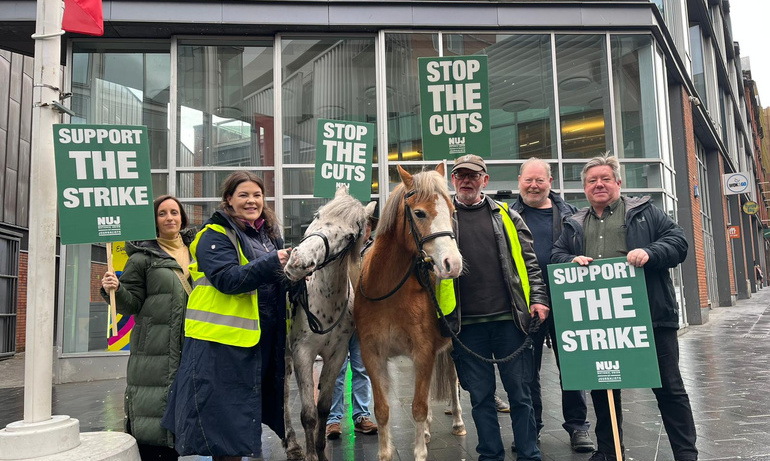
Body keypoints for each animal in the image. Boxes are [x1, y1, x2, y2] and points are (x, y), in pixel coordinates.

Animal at [284, 187, 376, 460]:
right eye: (317, 215)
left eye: (349, 236)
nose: (298, 263)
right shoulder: (303, 353)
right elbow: (308, 414)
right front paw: (311, 455)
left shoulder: (337, 355)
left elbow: (323, 407)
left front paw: (321, 451)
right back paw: (291, 444)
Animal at [354, 165, 462, 460]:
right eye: (419, 213)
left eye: (452, 210)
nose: (453, 263)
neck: (388, 290)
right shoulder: (373, 355)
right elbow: (382, 410)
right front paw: (385, 453)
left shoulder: (423, 352)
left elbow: (419, 407)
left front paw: (420, 451)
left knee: (453, 380)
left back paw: (458, 421)